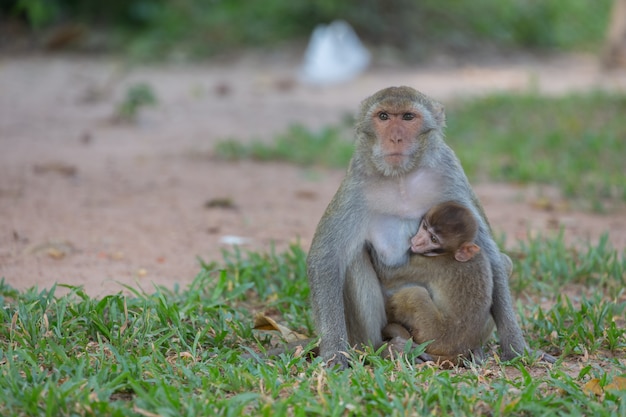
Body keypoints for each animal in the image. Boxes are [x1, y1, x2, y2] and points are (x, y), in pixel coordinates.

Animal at [378, 200, 510, 362]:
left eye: (433, 239)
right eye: (425, 227)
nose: (418, 241)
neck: (451, 254)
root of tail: (460, 350)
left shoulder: (431, 264)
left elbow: (386, 273)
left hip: (432, 334)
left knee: (415, 294)